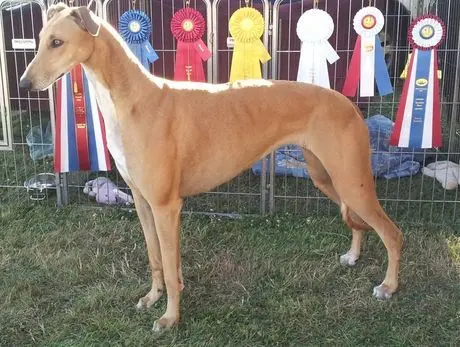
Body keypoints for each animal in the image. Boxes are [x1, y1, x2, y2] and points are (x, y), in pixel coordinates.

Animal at [20, 4, 402, 332]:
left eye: (57, 42)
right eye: (40, 39)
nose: (24, 84)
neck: (133, 99)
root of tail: (349, 104)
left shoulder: (166, 206)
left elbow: (170, 269)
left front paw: (169, 318)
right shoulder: (143, 202)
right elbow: (158, 259)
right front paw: (153, 297)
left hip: (351, 179)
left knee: (392, 232)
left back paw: (388, 286)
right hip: (327, 177)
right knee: (359, 222)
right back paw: (353, 256)